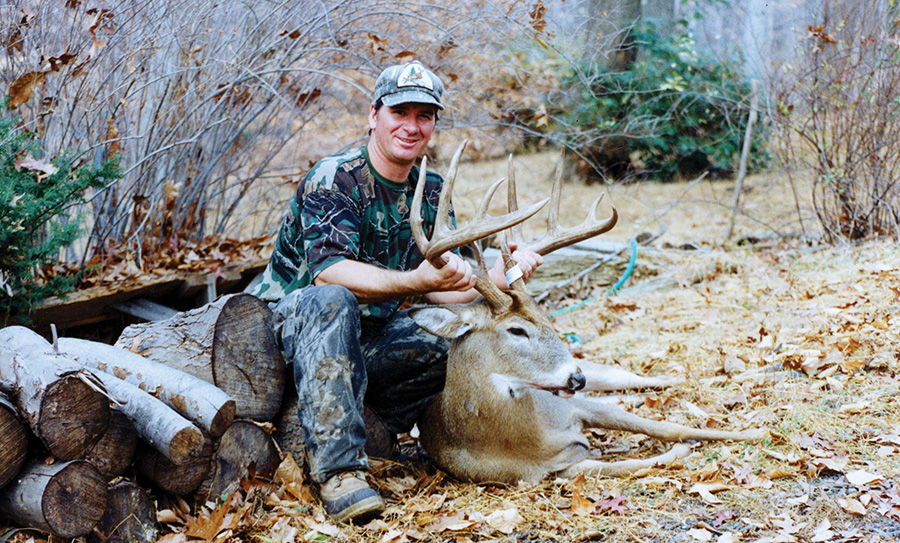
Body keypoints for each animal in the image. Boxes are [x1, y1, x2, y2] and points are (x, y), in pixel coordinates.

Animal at [410, 144, 768, 484]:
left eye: (547, 318)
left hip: (597, 377)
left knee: (639, 378)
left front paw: (754, 431)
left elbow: (666, 427)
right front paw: (684, 450)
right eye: (516, 330)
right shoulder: (552, 470)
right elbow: (627, 465)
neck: (527, 440)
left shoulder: (573, 404)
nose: (575, 377)